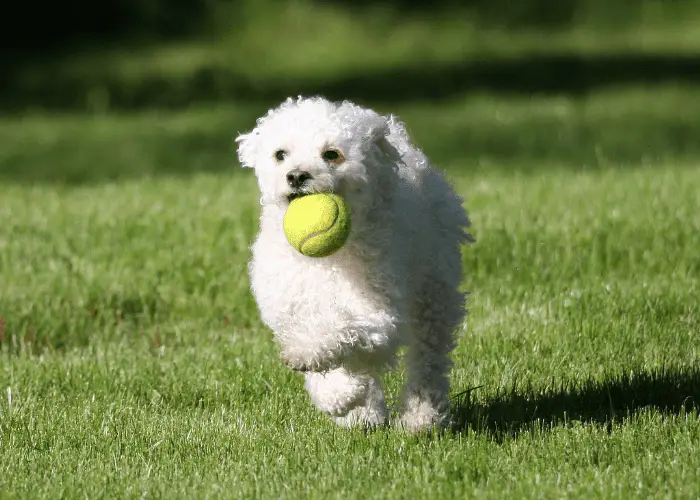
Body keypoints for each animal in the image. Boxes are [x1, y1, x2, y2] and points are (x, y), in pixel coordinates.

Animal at [238, 95, 474, 432]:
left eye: (331, 154)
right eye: (280, 154)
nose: (296, 175)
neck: (326, 262)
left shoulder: (378, 313)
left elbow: (339, 333)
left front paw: (332, 381)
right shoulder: (290, 309)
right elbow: (327, 353)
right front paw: (344, 398)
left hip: (434, 290)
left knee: (428, 356)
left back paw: (421, 417)